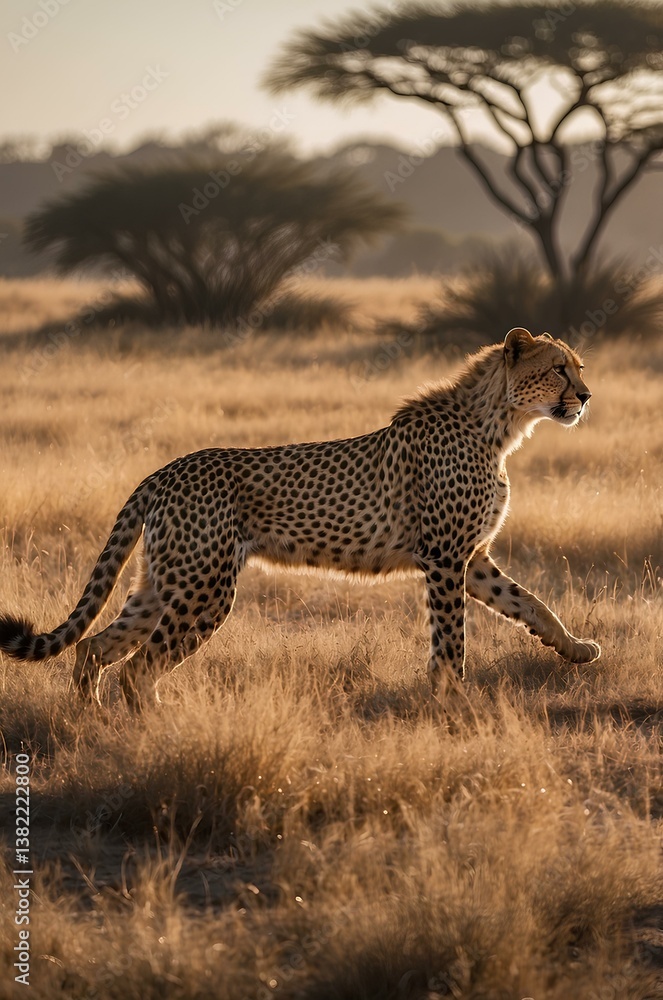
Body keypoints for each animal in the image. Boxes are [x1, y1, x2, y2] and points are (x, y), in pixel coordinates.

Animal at [0, 327, 600, 708]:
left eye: (578, 368)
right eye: (558, 370)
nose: (587, 396)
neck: (499, 425)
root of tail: (166, 470)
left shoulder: (472, 559)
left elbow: (531, 603)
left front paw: (574, 648)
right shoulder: (445, 558)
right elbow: (452, 639)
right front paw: (455, 701)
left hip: (163, 584)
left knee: (92, 648)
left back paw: (94, 725)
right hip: (205, 589)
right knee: (136, 668)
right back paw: (155, 729)